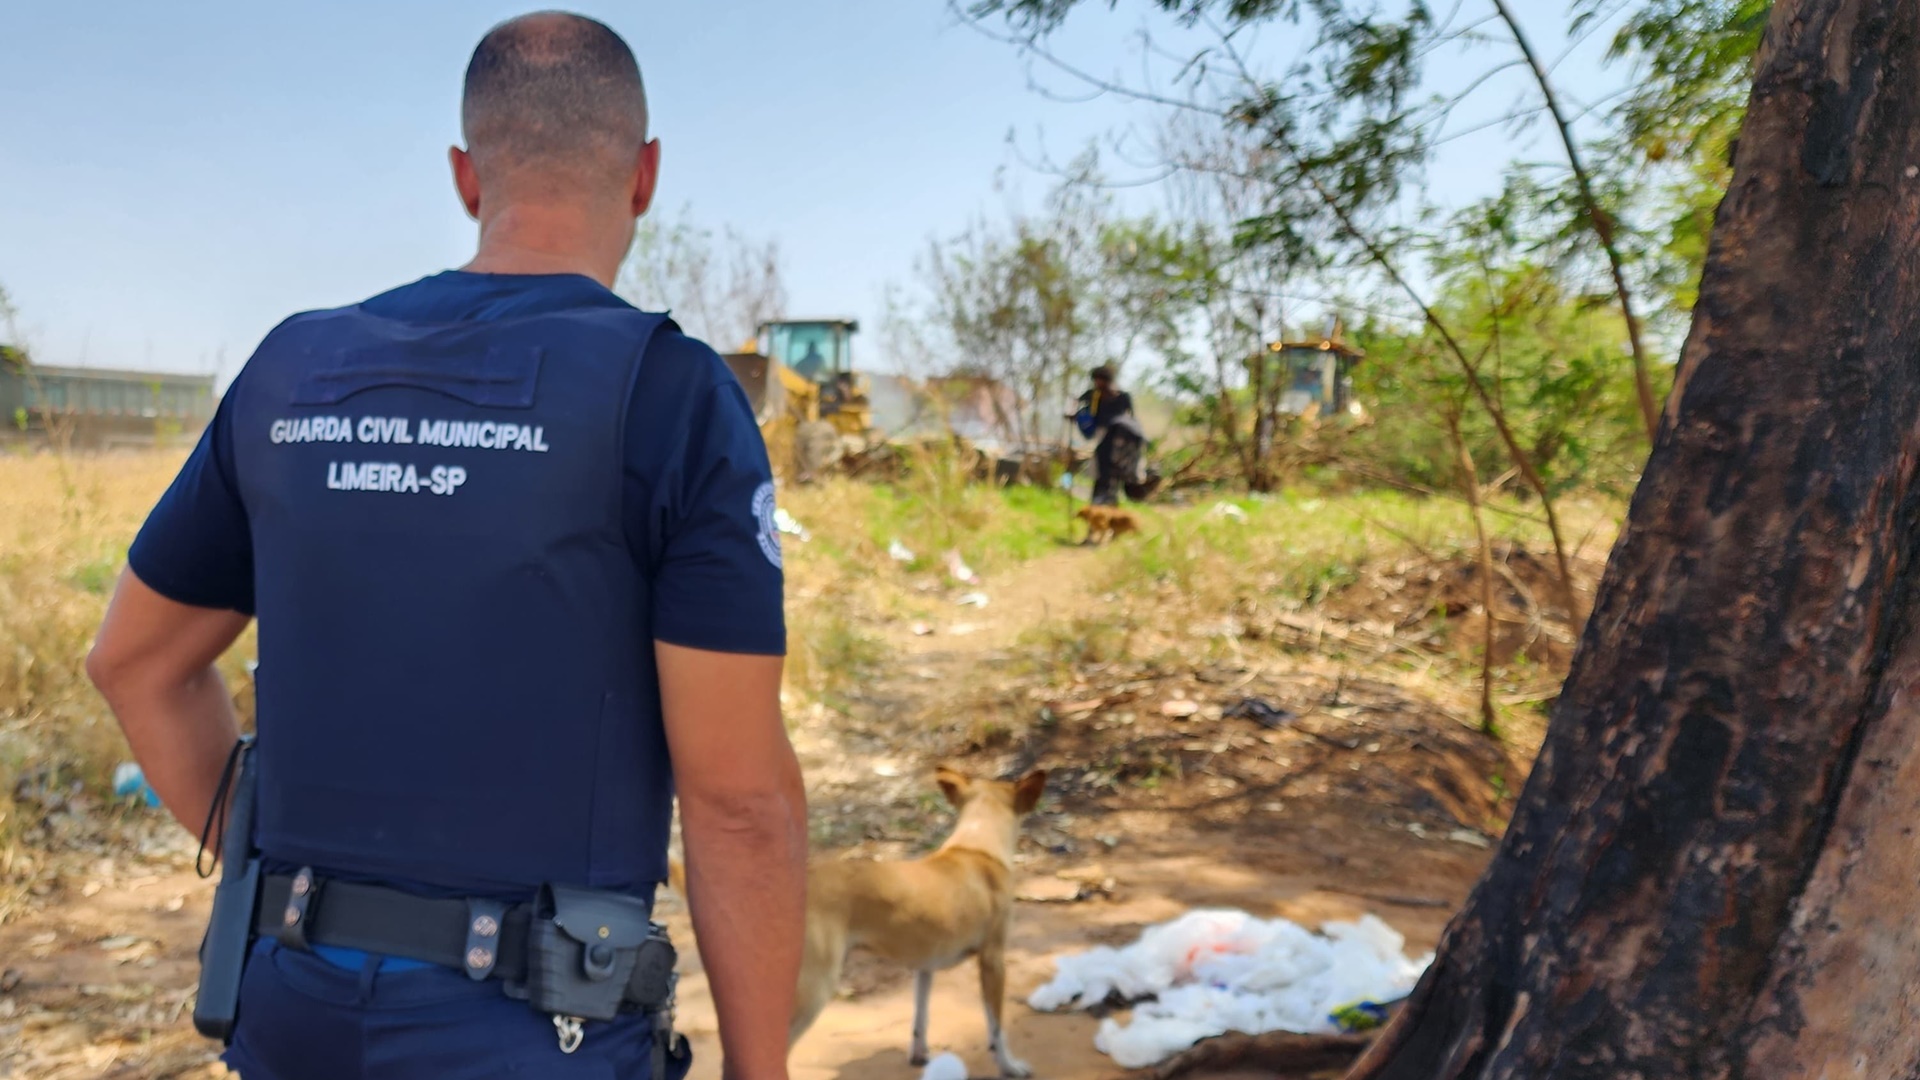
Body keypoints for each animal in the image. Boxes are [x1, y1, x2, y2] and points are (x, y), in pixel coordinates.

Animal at [668, 760, 1044, 1068]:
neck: (976, 846)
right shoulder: (993, 962)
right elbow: (996, 1028)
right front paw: (1010, 1066)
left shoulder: (925, 966)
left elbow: (920, 1019)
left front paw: (919, 1055)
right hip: (814, 988)